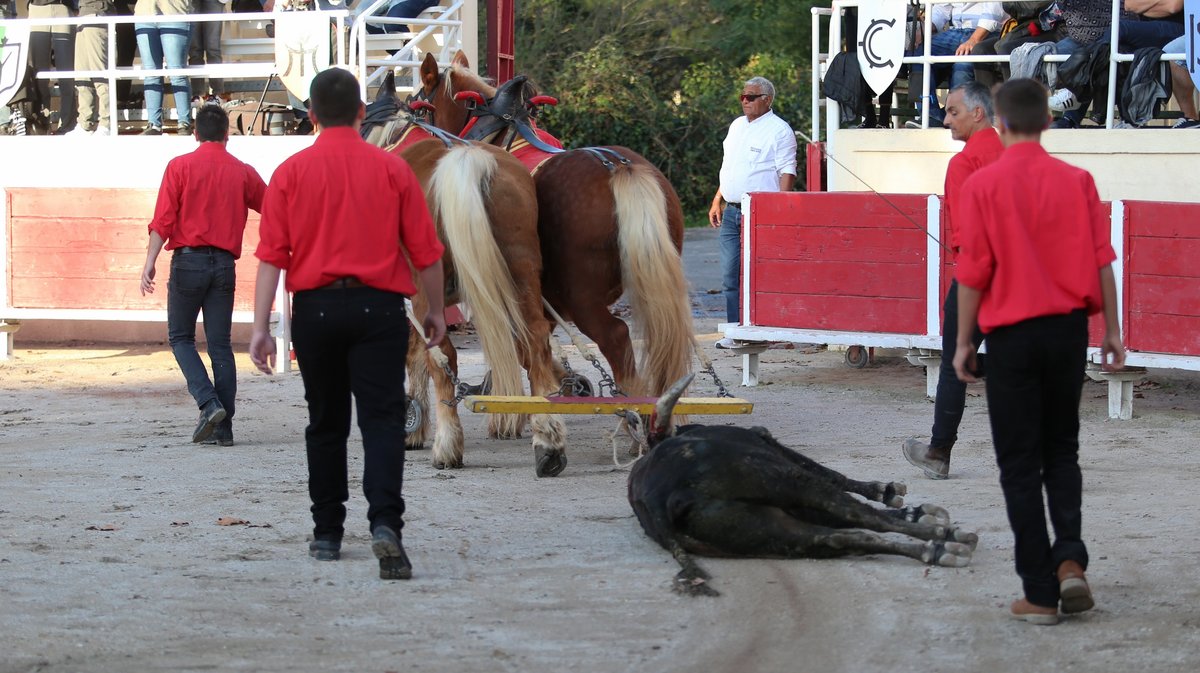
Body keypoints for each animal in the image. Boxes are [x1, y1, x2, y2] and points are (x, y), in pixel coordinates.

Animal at [357, 72, 568, 472]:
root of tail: (468, 162)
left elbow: (415, 355)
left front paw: (413, 425)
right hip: (520, 273)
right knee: (534, 339)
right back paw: (548, 437)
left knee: (444, 356)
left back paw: (448, 444)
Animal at [628, 374, 974, 595]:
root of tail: (658, 499)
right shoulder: (778, 456)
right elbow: (836, 479)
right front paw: (892, 496)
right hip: (786, 482)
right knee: (857, 516)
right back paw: (942, 538)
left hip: (766, 534)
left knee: (840, 538)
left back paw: (938, 549)